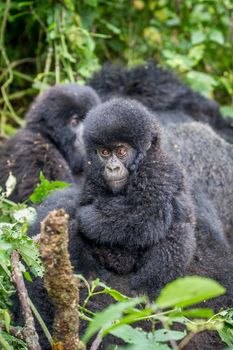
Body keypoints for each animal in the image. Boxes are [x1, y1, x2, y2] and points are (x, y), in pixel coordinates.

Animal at [17, 99, 233, 350]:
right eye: (104, 152)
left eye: (121, 151)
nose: (112, 168)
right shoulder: (93, 175)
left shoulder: (158, 171)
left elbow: (144, 215)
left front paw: (85, 217)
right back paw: (88, 274)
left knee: (175, 233)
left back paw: (144, 290)